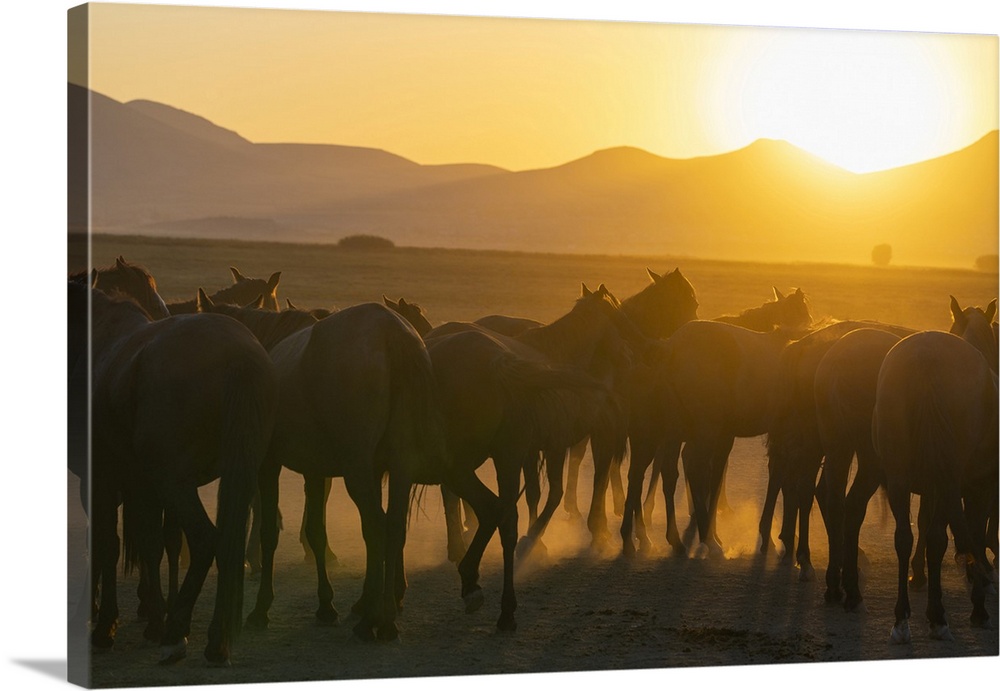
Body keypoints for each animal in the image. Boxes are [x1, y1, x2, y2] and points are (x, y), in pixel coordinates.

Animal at [69, 280, 277, 666]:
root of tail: (239, 355)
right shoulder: (141, 485)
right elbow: (150, 544)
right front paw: (151, 615)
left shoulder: (101, 479)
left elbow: (106, 544)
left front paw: (104, 626)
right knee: (224, 542)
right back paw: (213, 640)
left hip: (174, 483)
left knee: (206, 539)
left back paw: (176, 634)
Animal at [873, 297, 997, 643]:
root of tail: (926, 359)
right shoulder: (979, 487)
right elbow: (972, 533)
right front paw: (978, 605)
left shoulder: (928, 487)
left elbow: (926, 528)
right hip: (948, 479)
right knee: (940, 538)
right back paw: (940, 617)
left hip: (901, 476)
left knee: (904, 537)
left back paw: (902, 619)